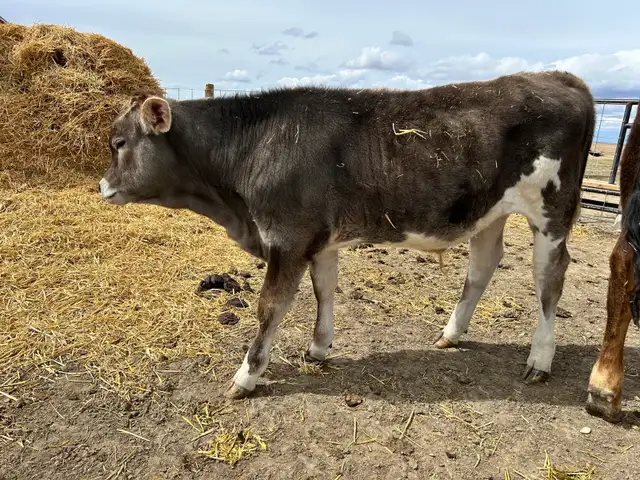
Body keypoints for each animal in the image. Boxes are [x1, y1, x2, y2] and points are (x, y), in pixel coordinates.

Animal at [98, 71, 595, 400]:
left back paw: (540, 360)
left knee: (549, 280)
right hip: (490, 213)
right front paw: (318, 348)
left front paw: (247, 376)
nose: (102, 185)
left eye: (119, 143)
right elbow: (325, 290)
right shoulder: (318, 239)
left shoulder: (287, 237)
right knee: (482, 267)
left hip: (551, 211)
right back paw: (451, 334)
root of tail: (558, 76)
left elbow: (270, 307)